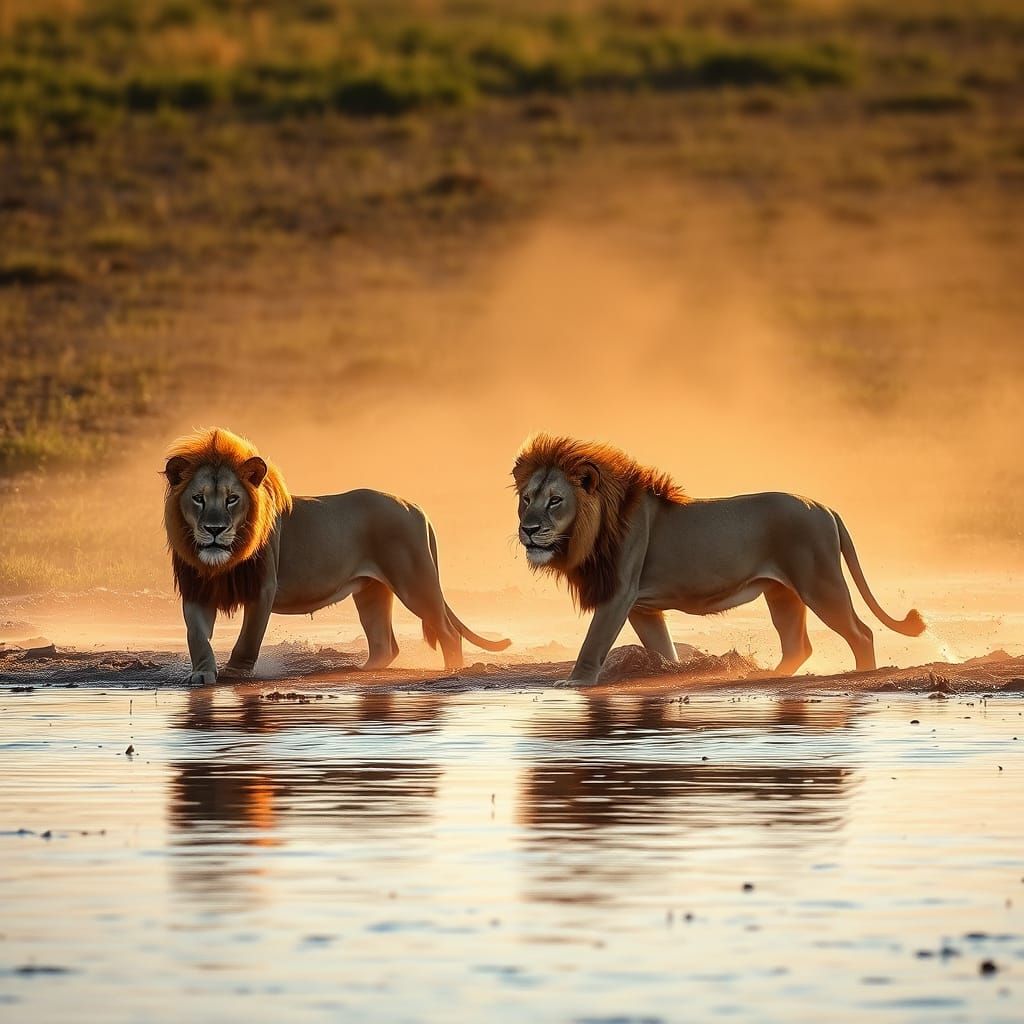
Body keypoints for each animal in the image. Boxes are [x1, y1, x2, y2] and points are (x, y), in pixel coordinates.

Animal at [164, 427, 510, 685]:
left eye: (232, 499)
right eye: (198, 498)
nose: (215, 529)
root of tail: (415, 507)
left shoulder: (263, 586)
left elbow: (248, 637)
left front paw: (235, 673)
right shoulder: (196, 588)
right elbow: (197, 635)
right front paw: (202, 673)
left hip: (415, 582)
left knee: (449, 633)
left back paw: (453, 671)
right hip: (372, 591)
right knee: (385, 645)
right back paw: (360, 671)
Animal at [512, 434, 925, 685]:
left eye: (555, 500)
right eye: (527, 499)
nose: (528, 529)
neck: (593, 530)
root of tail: (824, 507)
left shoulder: (618, 594)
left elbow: (592, 644)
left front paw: (573, 683)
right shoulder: (642, 608)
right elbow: (663, 650)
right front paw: (671, 672)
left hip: (820, 584)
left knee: (861, 633)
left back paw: (862, 674)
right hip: (782, 593)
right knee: (798, 646)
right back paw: (769, 677)